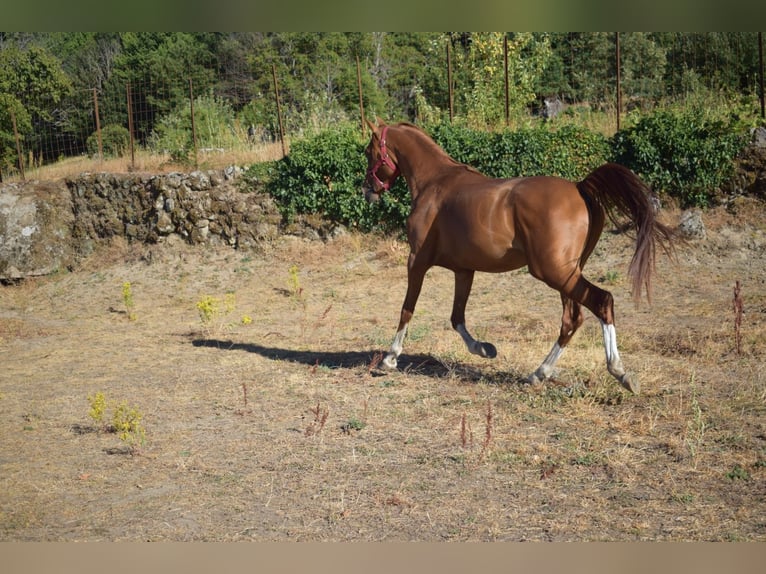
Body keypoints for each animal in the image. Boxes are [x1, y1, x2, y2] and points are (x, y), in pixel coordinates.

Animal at [364, 119, 676, 394]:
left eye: (369, 152)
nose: (369, 191)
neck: (434, 183)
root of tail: (580, 188)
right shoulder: (464, 270)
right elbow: (457, 317)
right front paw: (484, 349)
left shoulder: (416, 261)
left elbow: (408, 308)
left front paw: (390, 358)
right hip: (567, 273)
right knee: (572, 319)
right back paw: (539, 373)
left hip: (554, 272)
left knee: (602, 302)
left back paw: (620, 372)